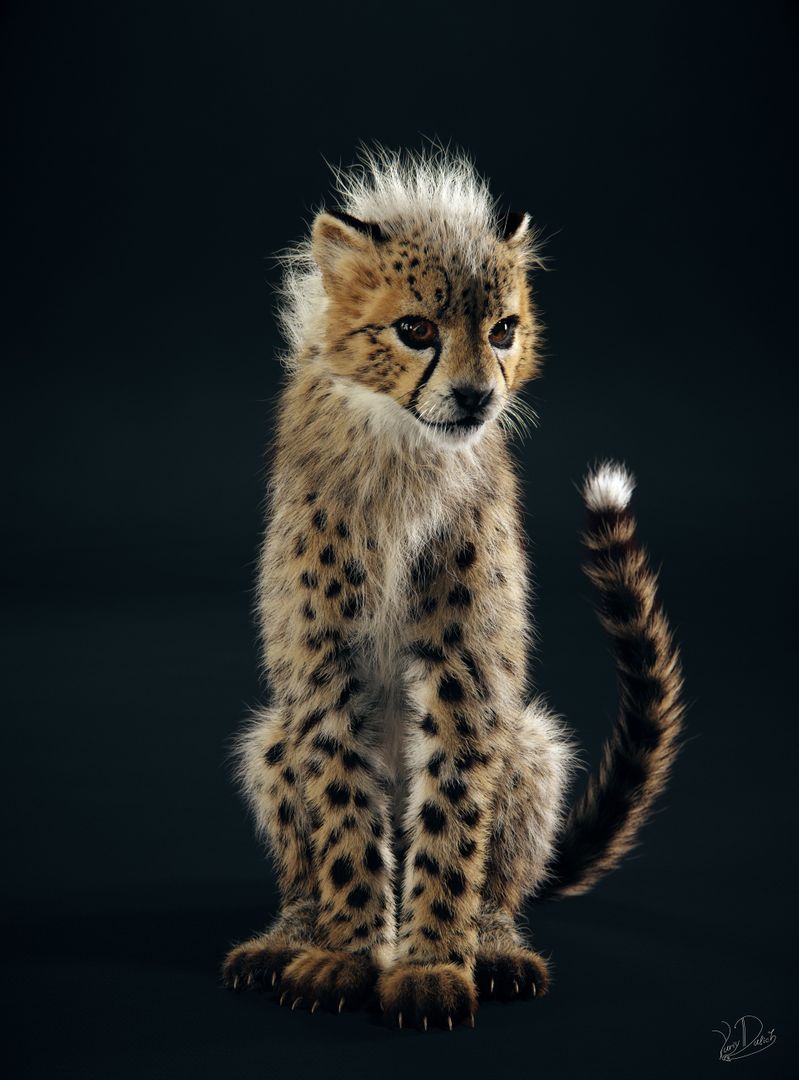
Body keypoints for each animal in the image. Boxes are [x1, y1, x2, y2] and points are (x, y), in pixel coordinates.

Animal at [222, 147, 684, 1030]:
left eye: (502, 329)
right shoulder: (325, 668)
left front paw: (434, 966)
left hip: (531, 745)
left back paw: (497, 949)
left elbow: (450, 821)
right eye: (415, 330)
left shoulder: (464, 665)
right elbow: (343, 822)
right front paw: (344, 958)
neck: (405, 452)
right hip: (270, 739)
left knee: (501, 883)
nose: (476, 396)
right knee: (301, 871)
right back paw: (283, 940)